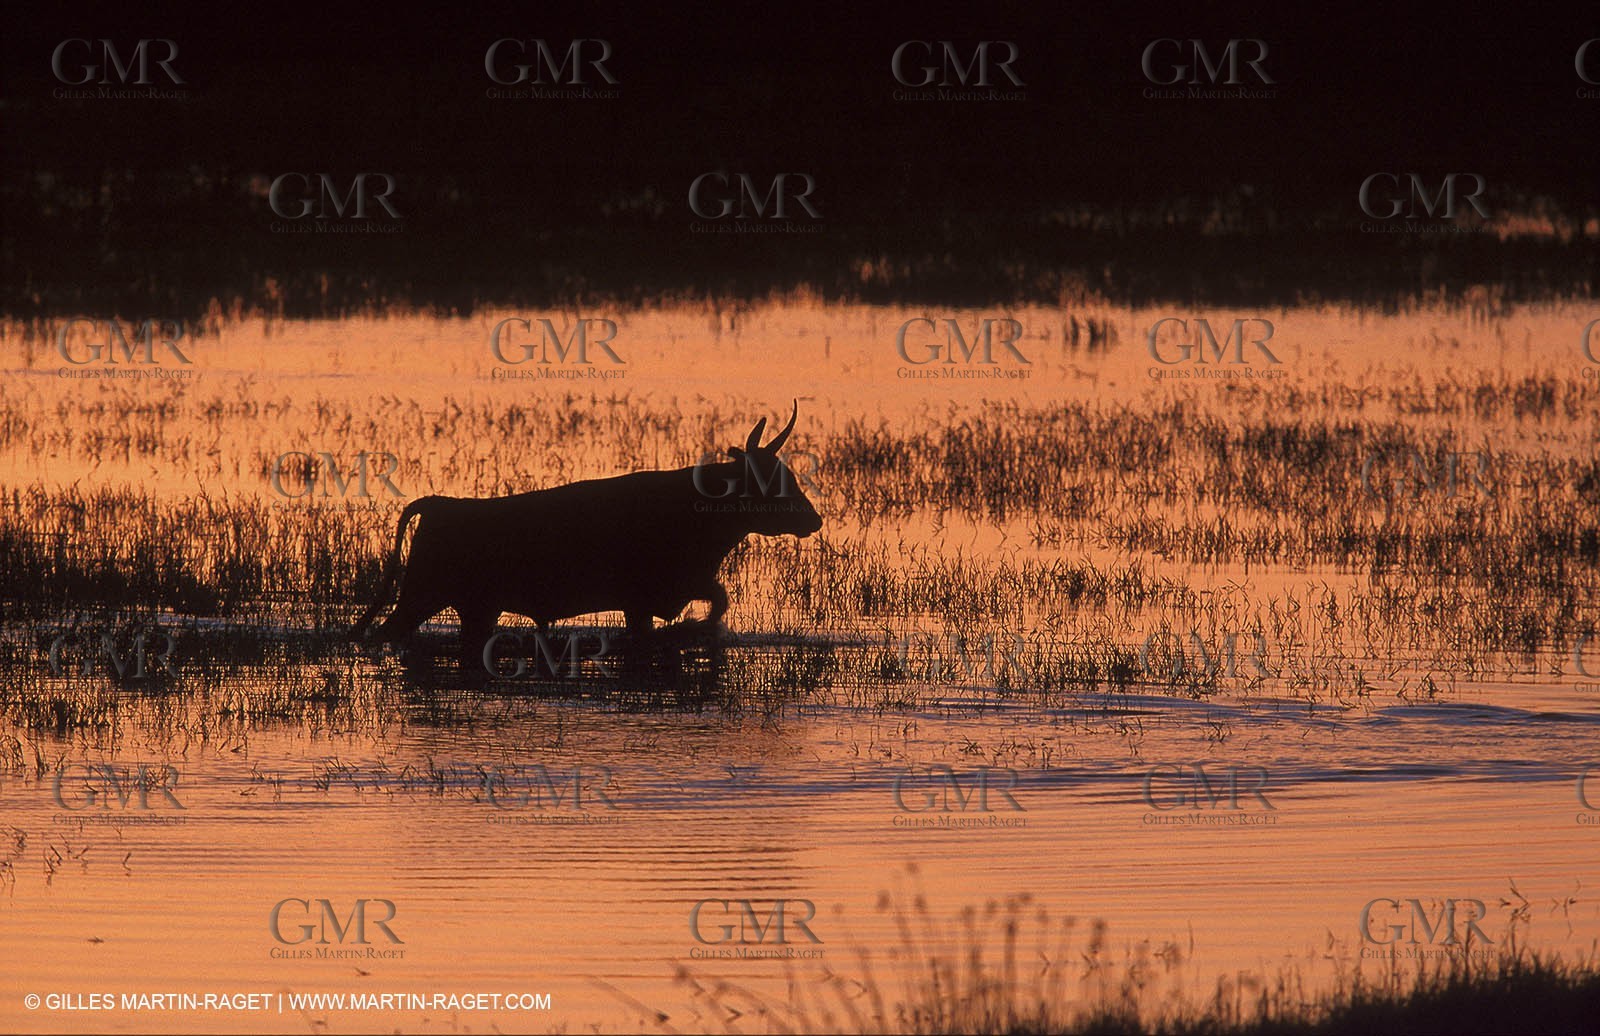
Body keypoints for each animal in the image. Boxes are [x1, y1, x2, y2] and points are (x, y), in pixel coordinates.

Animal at [351, 402, 822, 666]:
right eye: (770, 481)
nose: (814, 521)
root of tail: (438, 502)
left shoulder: (679, 588)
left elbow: (718, 602)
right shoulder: (643, 599)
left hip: (476, 608)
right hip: (421, 594)